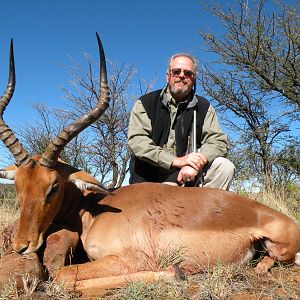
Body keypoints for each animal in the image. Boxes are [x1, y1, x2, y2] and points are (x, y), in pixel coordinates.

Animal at [0, 36, 300, 296]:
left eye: (53, 186)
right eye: (17, 185)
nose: (22, 246)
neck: (94, 210)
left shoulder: (128, 259)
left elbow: (62, 276)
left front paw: (174, 273)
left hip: (280, 248)